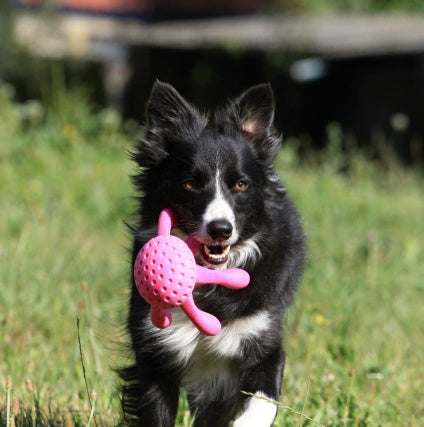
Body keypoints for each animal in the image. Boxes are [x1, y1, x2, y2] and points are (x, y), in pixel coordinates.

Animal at [121, 82, 306, 426]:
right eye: (190, 183)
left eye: (241, 184)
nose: (220, 229)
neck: (212, 282)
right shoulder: (154, 347)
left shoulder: (261, 332)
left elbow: (264, 397)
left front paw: (246, 422)